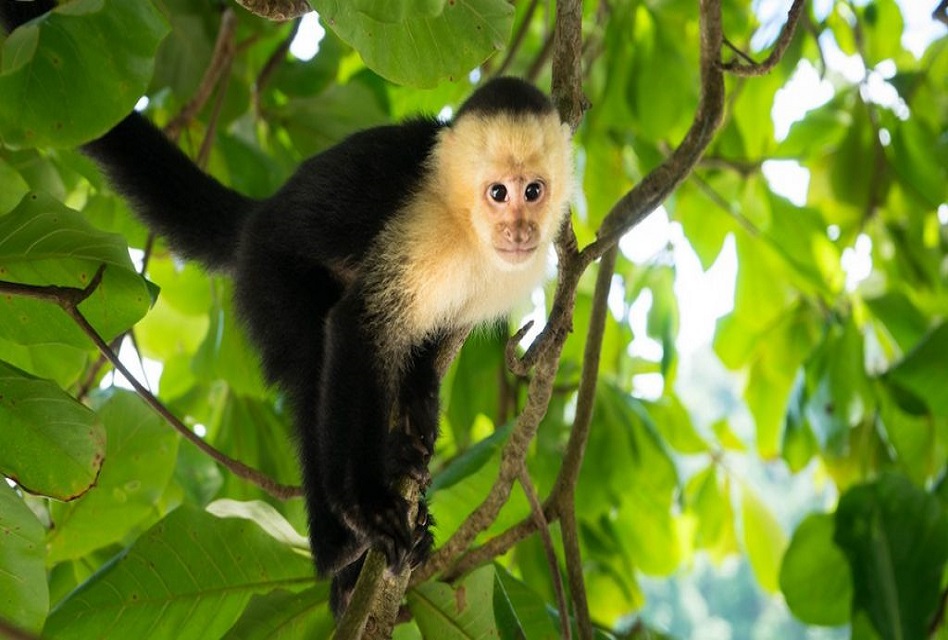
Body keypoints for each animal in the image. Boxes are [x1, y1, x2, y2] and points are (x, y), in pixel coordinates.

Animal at [1, 1, 574, 616]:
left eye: (533, 191)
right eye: (498, 193)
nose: (519, 230)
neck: (467, 229)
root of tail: (260, 215)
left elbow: (431, 339)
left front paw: (418, 409)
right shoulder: (425, 229)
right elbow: (359, 325)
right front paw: (368, 506)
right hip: (270, 275)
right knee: (312, 366)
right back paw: (339, 554)